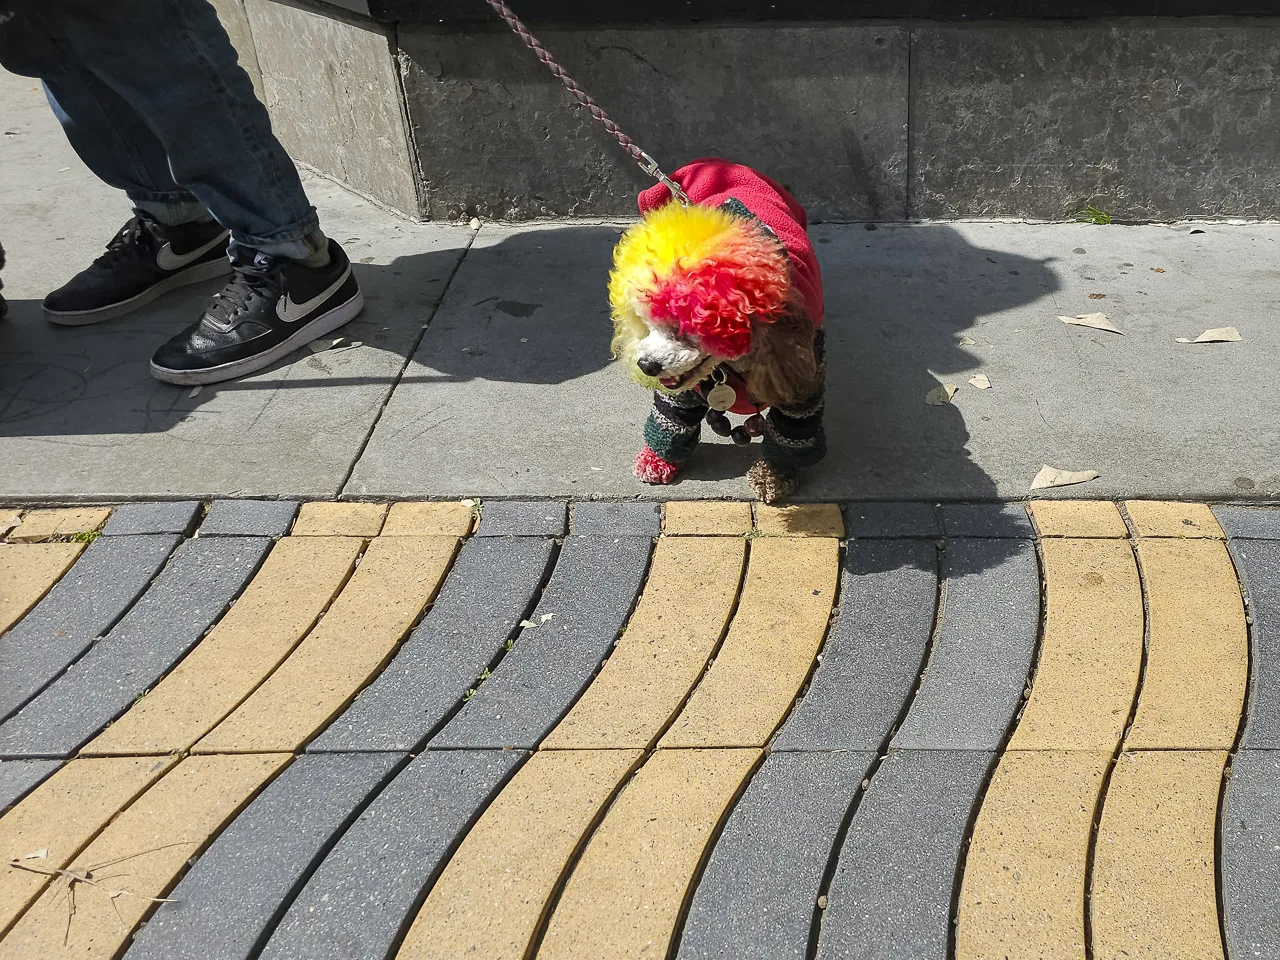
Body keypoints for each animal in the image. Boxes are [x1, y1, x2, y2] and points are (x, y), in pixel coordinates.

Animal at [609, 158, 829, 504]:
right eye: (646, 321)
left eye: (686, 324)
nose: (646, 365)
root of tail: (720, 163)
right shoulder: (684, 385)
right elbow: (673, 415)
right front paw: (657, 459)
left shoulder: (802, 380)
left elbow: (791, 432)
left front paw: (773, 475)